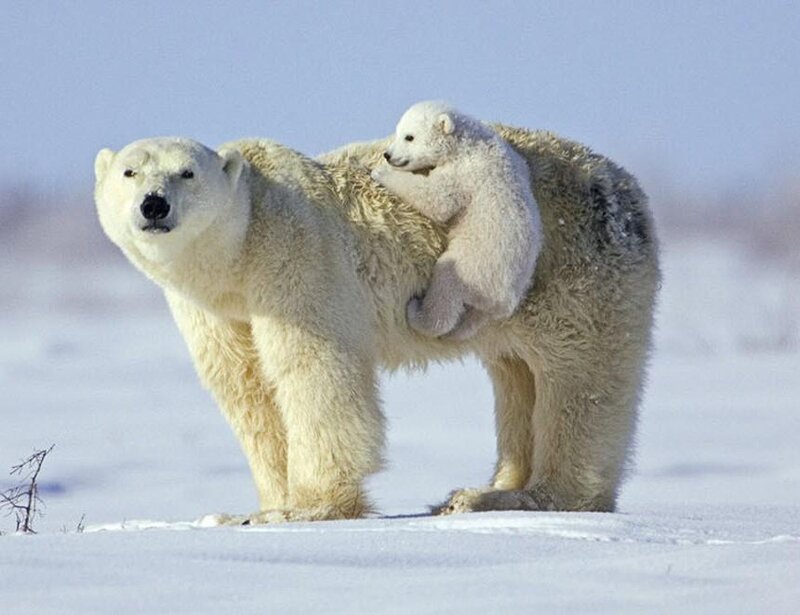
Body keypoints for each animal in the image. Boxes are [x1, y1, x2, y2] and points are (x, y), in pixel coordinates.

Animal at [94, 125, 659, 523]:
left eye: (187, 172)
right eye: (129, 173)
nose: (154, 205)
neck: (240, 250)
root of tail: (628, 186)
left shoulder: (296, 255)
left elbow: (314, 372)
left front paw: (308, 507)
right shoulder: (213, 310)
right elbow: (247, 389)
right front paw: (258, 506)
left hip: (573, 267)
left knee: (577, 380)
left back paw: (535, 496)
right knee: (516, 374)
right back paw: (483, 491)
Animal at [371, 101, 542, 341]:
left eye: (409, 137)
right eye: (398, 131)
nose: (388, 155)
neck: (467, 143)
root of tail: (504, 301)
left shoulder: (465, 172)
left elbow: (438, 199)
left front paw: (381, 173)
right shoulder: (514, 157)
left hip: (473, 267)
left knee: (445, 288)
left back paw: (417, 313)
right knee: (472, 319)